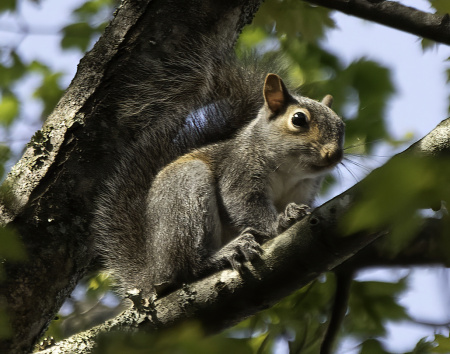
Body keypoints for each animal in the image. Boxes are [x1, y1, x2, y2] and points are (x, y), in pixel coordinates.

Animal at [92, 47, 344, 298]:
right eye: (298, 119)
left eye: (341, 126)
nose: (334, 154)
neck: (290, 172)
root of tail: (155, 272)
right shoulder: (239, 170)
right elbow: (243, 204)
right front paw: (280, 222)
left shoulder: (305, 189)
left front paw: (294, 211)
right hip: (187, 199)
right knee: (189, 267)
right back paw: (226, 252)